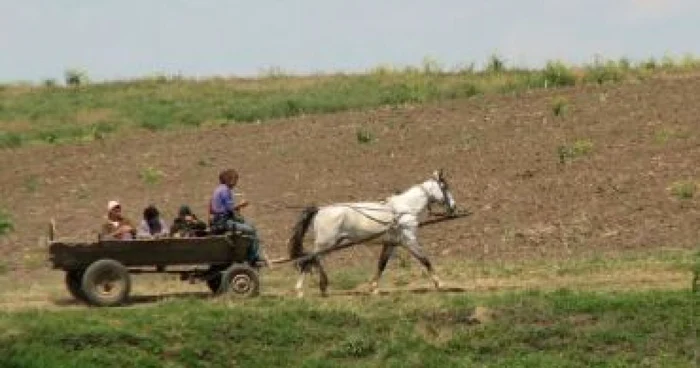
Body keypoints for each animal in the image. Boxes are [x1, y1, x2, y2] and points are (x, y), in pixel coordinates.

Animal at [288, 170, 456, 296]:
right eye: (445, 186)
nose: (454, 207)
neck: (404, 209)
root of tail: (320, 209)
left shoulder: (390, 243)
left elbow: (381, 264)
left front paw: (373, 288)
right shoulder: (409, 240)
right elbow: (425, 260)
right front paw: (440, 283)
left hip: (331, 243)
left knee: (315, 261)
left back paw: (322, 287)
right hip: (326, 243)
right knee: (308, 260)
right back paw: (301, 290)